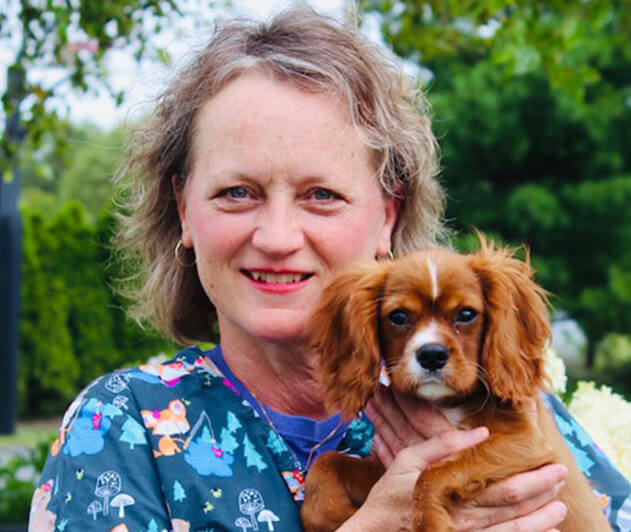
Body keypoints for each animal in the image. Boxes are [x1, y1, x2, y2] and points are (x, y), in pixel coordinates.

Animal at [302, 238, 612, 532]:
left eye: (466, 314)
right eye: (398, 317)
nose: (431, 355)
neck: (447, 403)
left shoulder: (526, 443)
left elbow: (433, 474)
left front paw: (428, 524)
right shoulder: (383, 469)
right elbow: (326, 461)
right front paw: (330, 516)